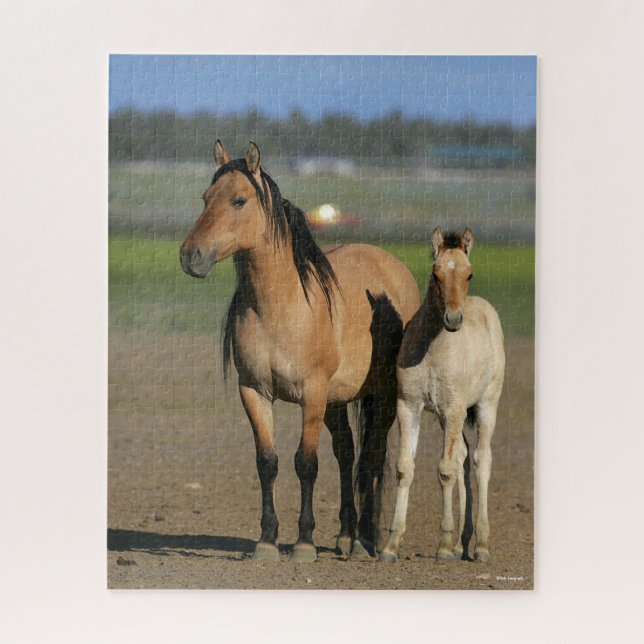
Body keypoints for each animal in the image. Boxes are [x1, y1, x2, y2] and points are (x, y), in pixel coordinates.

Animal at [179, 140, 420, 562]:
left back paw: (367, 540)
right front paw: (266, 541)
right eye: (206, 198)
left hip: (383, 394)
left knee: (372, 456)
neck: (280, 308)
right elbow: (268, 462)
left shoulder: (312, 393)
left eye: (239, 200)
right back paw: (346, 536)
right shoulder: (254, 392)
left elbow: (306, 463)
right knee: (347, 454)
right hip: (337, 401)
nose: (190, 255)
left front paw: (304, 542)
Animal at [380, 227, 505, 563]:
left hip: (486, 405)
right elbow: (405, 469)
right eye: (436, 274)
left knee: (481, 459)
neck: (432, 350)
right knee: (462, 455)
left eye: (469, 274)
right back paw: (463, 543)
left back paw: (482, 546)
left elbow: (444, 471)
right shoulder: (409, 407)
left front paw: (443, 546)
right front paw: (391, 546)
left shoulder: (455, 409)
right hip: (446, 417)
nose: (453, 320)